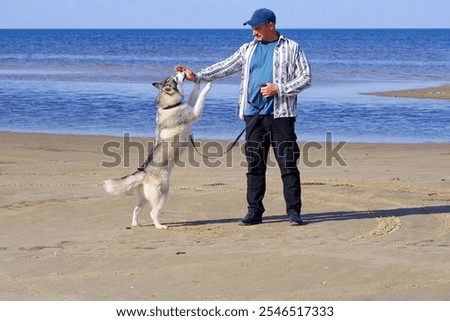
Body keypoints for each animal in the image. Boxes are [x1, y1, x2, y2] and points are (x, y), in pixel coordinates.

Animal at [104, 71, 212, 229]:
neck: (170, 106)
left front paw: (198, 82)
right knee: (152, 213)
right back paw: (160, 226)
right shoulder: (194, 113)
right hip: (163, 194)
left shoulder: (189, 107)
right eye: (175, 78)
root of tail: (143, 172)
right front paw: (208, 86)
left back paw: (136, 224)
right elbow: (200, 98)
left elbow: (194, 95)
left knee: (136, 209)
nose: (181, 71)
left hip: (144, 198)